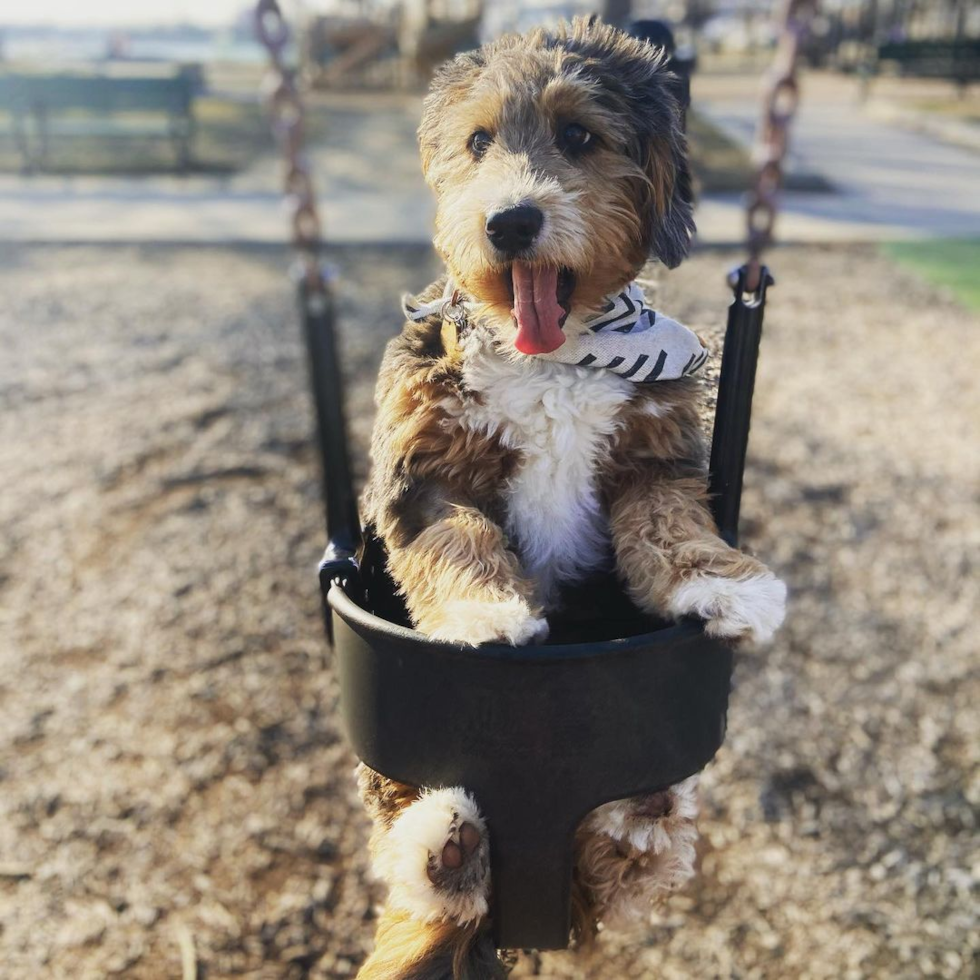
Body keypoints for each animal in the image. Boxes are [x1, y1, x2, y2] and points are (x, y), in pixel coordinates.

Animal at [356, 17, 784, 980]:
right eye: (478, 142)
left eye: (580, 136)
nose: (510, 221)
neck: (555, 354)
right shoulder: (420, 467)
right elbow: (459, 536)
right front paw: (484, 614)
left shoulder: (655, 456)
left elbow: (668, 524)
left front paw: (722, 583)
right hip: (397, 771)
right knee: (409, 830)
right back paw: (447, 850)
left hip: (643, 798)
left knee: (630, 858)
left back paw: (631, 826)